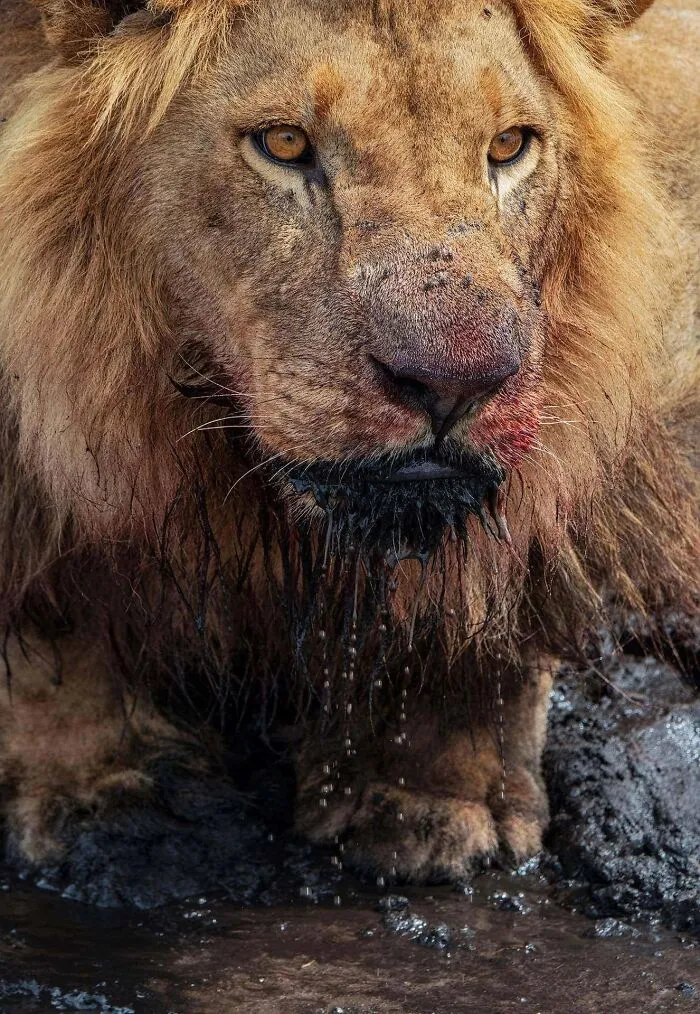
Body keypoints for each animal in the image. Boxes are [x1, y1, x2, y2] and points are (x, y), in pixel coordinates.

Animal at [0, 0, 697, 904]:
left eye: (509, 146)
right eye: (283, 143)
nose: (455, 383)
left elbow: (479, 594)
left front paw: (434, 792)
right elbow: (52, 622)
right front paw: (107, 801)